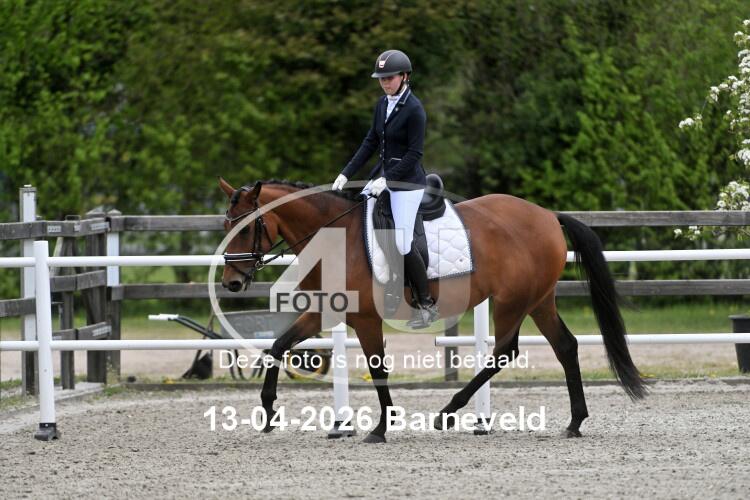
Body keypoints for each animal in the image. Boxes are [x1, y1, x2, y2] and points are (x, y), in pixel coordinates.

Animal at [218, 177, 646, 443]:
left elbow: (377, 368)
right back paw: (574, 421)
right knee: (565, 346)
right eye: (226, 224)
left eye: (245, 228)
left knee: (505, 352)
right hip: (539, 300)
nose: (231, 283)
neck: (336, 237)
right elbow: (277, 346)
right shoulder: (326, 311)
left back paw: (449, 412)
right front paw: (269, 411)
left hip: (511, 302)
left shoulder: (366, 320)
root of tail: (546, 215)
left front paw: (382, 426)